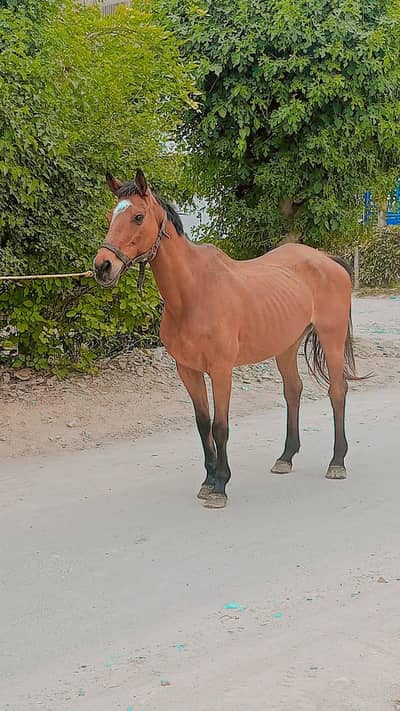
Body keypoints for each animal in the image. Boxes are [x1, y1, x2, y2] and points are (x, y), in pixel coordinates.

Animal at [94, 169, 361, 509]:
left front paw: (220, 485)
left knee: (337, 391)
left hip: (331, 337)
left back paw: (337, 462)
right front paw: (208, 480)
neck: (193, 293)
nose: (103, 266)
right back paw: (285, 457)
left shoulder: (221, 371)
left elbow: (220, 426)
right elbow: (202, 423)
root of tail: (326, 259)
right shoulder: (188, 370)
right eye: (109, 216)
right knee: (293, 391)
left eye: (138, 217)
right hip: (285, 346)